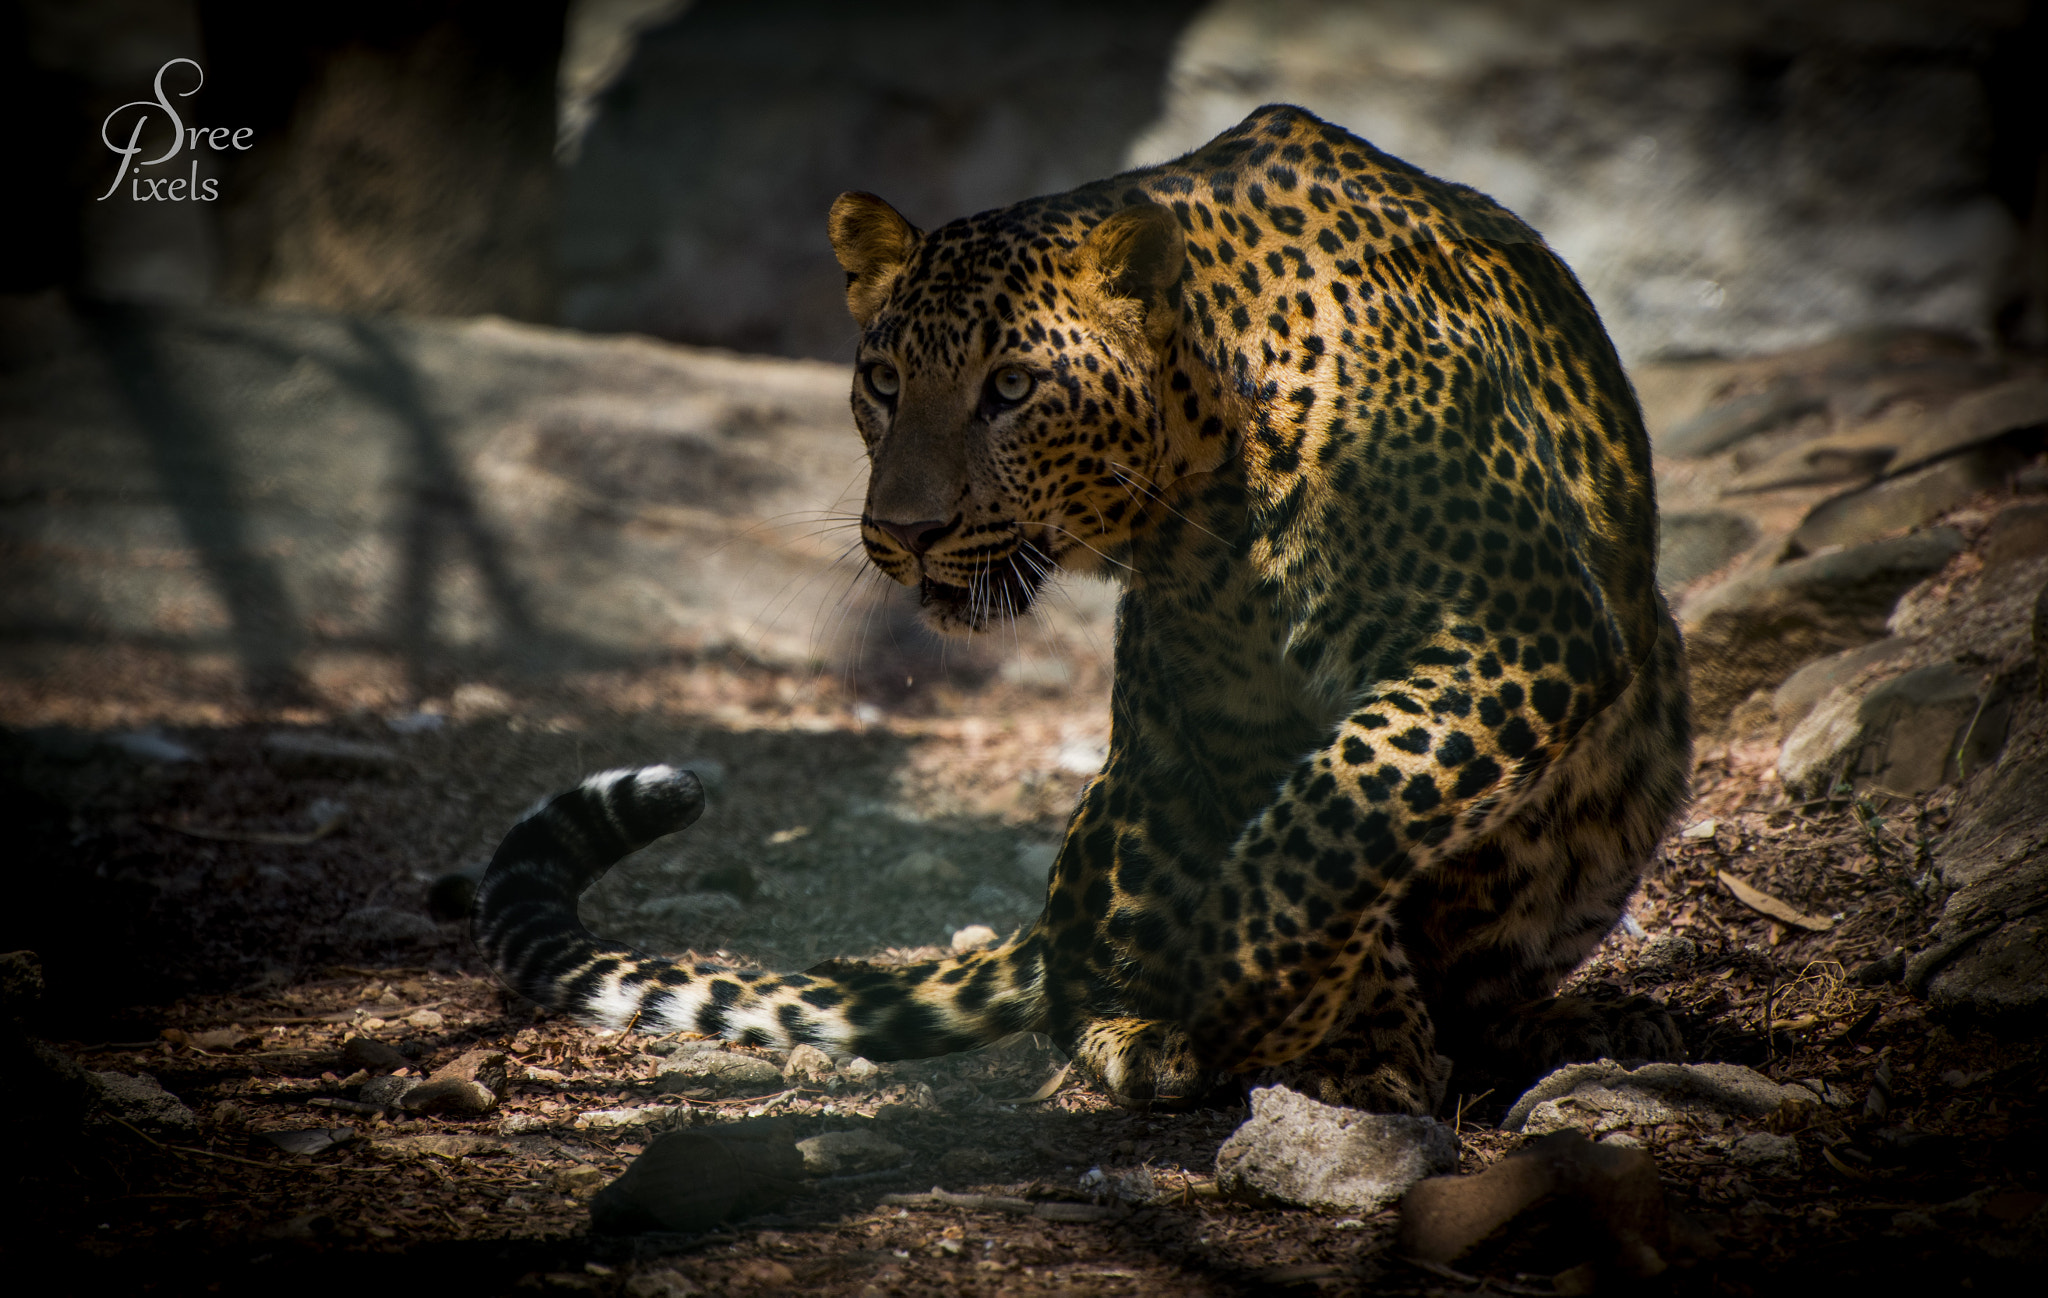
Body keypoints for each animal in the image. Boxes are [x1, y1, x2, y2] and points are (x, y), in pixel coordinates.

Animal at [473, 104, 1692, 1116]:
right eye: (882, 383)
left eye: (1009, 388)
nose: (904, 531)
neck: (1212, 470)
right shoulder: (1230, 707)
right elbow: (1318, 845)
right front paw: (1333, 1037)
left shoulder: (1515, 629)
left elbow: (1348, 808)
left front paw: (1250, 997)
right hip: (1140, 778)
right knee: (1074, 977)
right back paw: (1136, 1029)